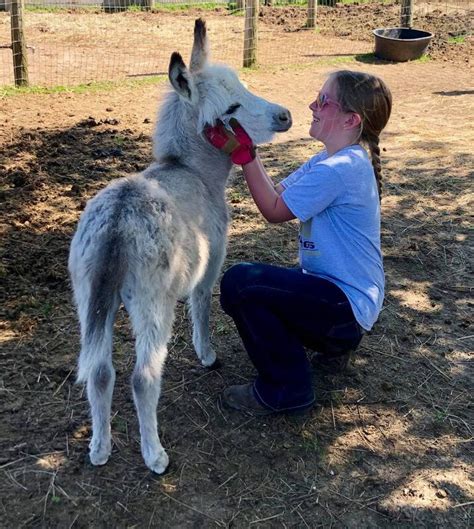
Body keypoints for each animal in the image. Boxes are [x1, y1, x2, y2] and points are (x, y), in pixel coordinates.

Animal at [68, 19, 290, 474]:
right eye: (232, 109)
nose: (285, 116)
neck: (191, 171)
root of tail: (118, 221)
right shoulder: (210, 262)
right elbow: (203, 304)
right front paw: (207, 355)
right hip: (153, 301)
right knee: (142, 376)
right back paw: (155, 455)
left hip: (88, 294)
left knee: (99, 370)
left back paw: (100, 448)